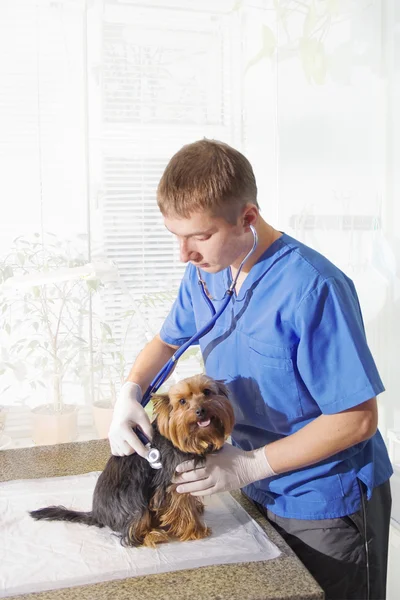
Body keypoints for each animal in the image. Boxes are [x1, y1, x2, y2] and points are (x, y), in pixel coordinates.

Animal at [30, 376, 234, 548]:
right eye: (182, 401)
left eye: (207, 392)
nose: (200, 410)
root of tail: (97, 513)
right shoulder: (174, 481)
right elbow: (183, 506)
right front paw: (195, 531)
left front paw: (197, 510)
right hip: (132, 498)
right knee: (132, 531)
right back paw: (152, 535)